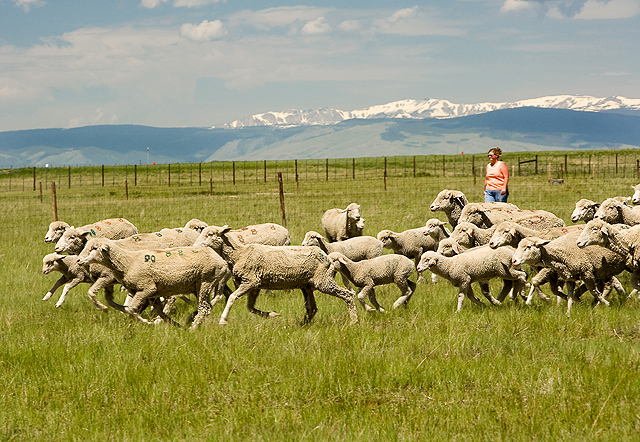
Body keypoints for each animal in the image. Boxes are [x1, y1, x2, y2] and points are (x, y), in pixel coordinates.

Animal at [77, 238, 231, 329]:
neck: (128, 261)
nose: (78, 260)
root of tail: (221, 261)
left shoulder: (147, 289)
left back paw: (193, 328)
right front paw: (173, 325)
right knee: (205, 306)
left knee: (205, 308)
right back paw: (190, 321)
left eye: (94, 248)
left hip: (206, 281)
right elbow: (153, 310)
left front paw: (147, 322)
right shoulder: (150, 293)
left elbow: (131, 309)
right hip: (197, 286)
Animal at [192, 225, 358, 325]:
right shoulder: (255, 285)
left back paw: (354, 322)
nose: (194, 246)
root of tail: (328, 258)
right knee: (312, 308)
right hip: (307, 286)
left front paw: (223, 320)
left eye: (210, 234)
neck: (239, 253)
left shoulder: (251, 281)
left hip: (323, 281)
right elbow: (250, 307)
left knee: (347, 295)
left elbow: (232, 297)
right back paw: (302, 325)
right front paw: (272, 314)